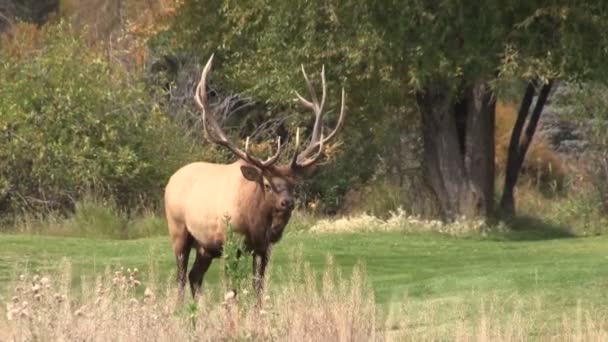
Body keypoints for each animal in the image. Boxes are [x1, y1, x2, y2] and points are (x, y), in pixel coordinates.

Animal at [164, 54, 346, 298]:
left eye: (294, 185)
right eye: (268, 185)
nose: (287, 202)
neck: (255, 223)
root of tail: (171, 180)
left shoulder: (264, 248)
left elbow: (258, 286)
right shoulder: (231, 241)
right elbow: (232, 288)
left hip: (205, 247)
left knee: (195, 276)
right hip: (178, 230)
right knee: (181, 277)